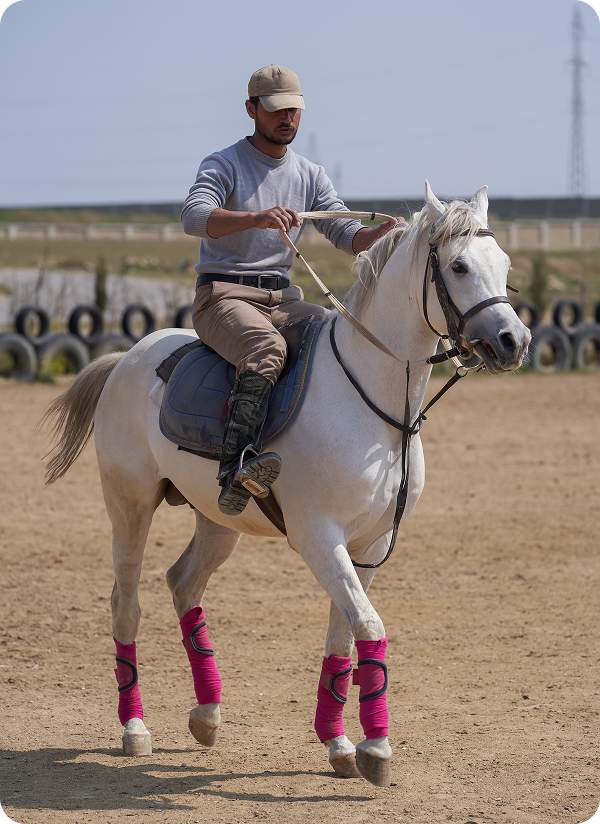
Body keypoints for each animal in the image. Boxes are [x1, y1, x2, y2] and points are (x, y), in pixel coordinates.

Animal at [41, 183, 530, 787]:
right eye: (458, 266)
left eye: (504, 264)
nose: (513, 341)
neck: (372, 400)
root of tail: (127, 357)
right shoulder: (320, 538)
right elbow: (368, 624)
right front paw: (376, 748)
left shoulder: (367, 545)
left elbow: (345, 633)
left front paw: (340, 743)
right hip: (129, 506)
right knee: (125, 604)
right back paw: (135, 729)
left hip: (217, 520)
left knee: (184, 584)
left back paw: (207, 714)